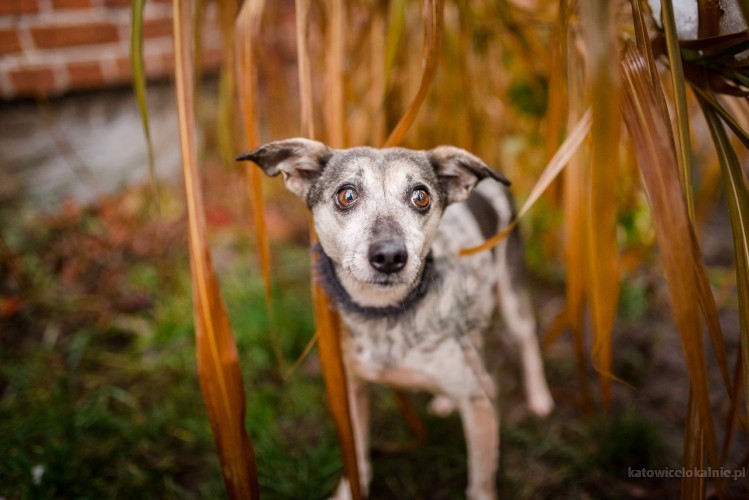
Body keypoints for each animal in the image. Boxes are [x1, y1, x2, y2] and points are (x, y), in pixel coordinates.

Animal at [237, 139, 552, 500]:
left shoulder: (480, 404)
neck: (385, 314)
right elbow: (358, 460)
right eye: (347, 194)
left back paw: (540, 399)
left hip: (512, 293)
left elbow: (480, 484)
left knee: (526, 341)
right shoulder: (352, 391)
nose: (389, 256)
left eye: (421, 196)